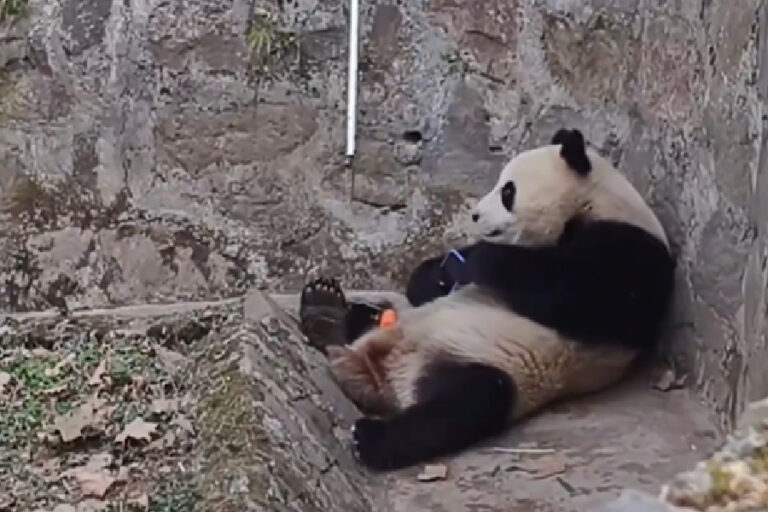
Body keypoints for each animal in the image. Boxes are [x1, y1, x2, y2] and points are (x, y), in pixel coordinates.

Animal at [299, 128, 676, 471]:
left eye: (508, 190)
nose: (476, 215)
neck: (595, 202)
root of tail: (384, 376)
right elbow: (428, 282)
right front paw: (443, 270)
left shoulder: (633, 253)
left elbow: (584, 298)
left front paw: (479, 260)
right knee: (368, 322)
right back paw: (326, 312)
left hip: (489, 365)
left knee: (463, 406)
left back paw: (372, 439)